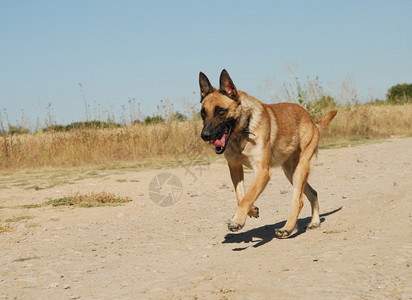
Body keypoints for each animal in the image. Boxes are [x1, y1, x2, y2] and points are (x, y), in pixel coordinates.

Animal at [200, 69, 338, 238]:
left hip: (300, 170)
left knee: (298, 201)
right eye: (203, 114)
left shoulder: (262, 172)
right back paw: (315, 222)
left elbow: (247, 196)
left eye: (221, 111)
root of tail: (312, 121)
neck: (243, 130)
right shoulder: (235, 168)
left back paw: (287, 228)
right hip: (291, 172)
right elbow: (241, 196)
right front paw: (251, 211)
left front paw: (237, 221)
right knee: (313, 193)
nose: (205, 135)